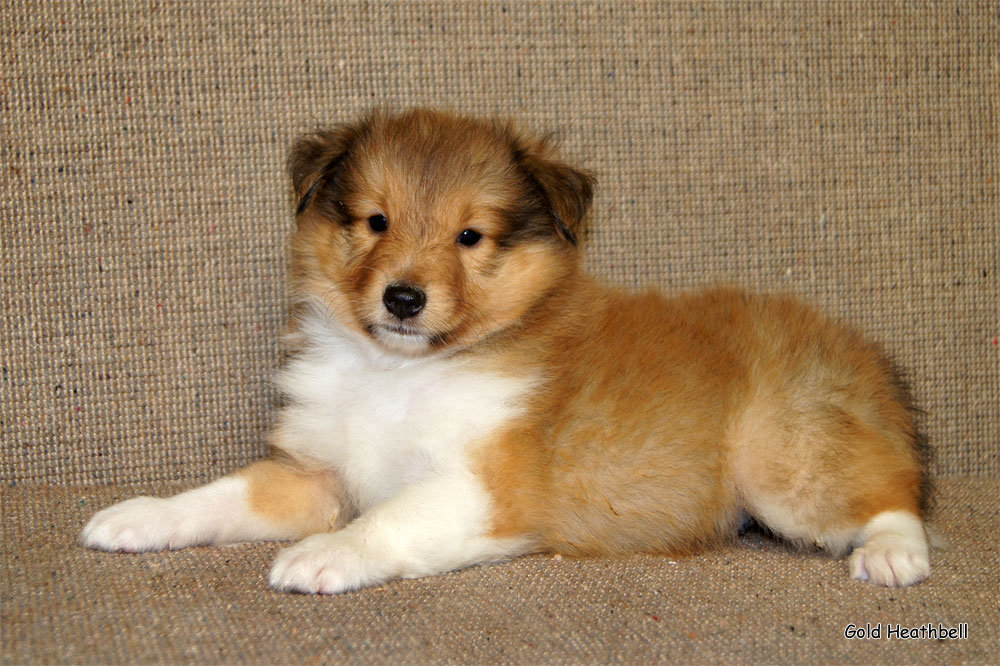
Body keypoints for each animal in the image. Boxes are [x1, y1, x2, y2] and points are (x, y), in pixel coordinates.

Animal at [82, 109, 932, 592]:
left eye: (471, 236)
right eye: (374, 220)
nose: (403, 299)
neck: (398, 372)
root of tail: (862, 355)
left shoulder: (486, 488)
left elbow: (387, 519)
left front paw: (324, 557)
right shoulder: (315, 473)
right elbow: (219, 497)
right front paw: (137, 518)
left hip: (782, 463)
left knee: (891, 494)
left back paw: (893, 556)